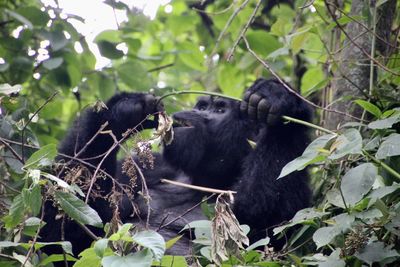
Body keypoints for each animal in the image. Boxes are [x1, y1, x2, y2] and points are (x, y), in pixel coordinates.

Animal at [39, 78, 310, 262]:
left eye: (219, 110)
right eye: (202, 105)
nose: (194, 110)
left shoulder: (292, 209)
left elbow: (264, 215)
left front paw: (283, 105)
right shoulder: (143, 168)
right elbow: (64, 235)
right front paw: (122, 109)